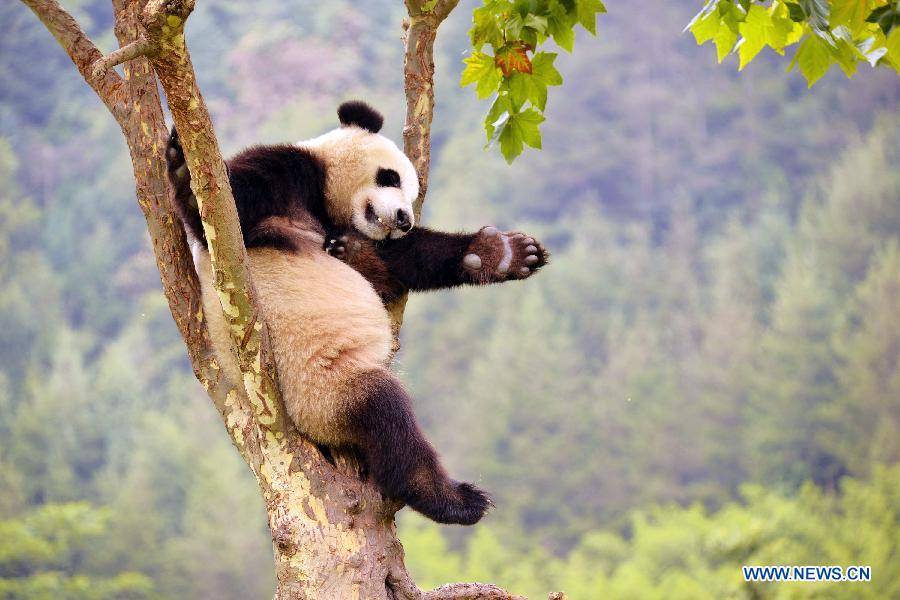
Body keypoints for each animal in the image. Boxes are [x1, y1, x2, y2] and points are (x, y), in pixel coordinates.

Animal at [167, 100, 547, 525]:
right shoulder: (284, 176)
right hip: (320, 391)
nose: (403, 218)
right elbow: (218, 210)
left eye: (412, 195)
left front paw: (502, 255)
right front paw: (182, 168)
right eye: (390, 177)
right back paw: (451, 499)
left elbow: (404, 258)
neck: (325, 202)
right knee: (387, 415)